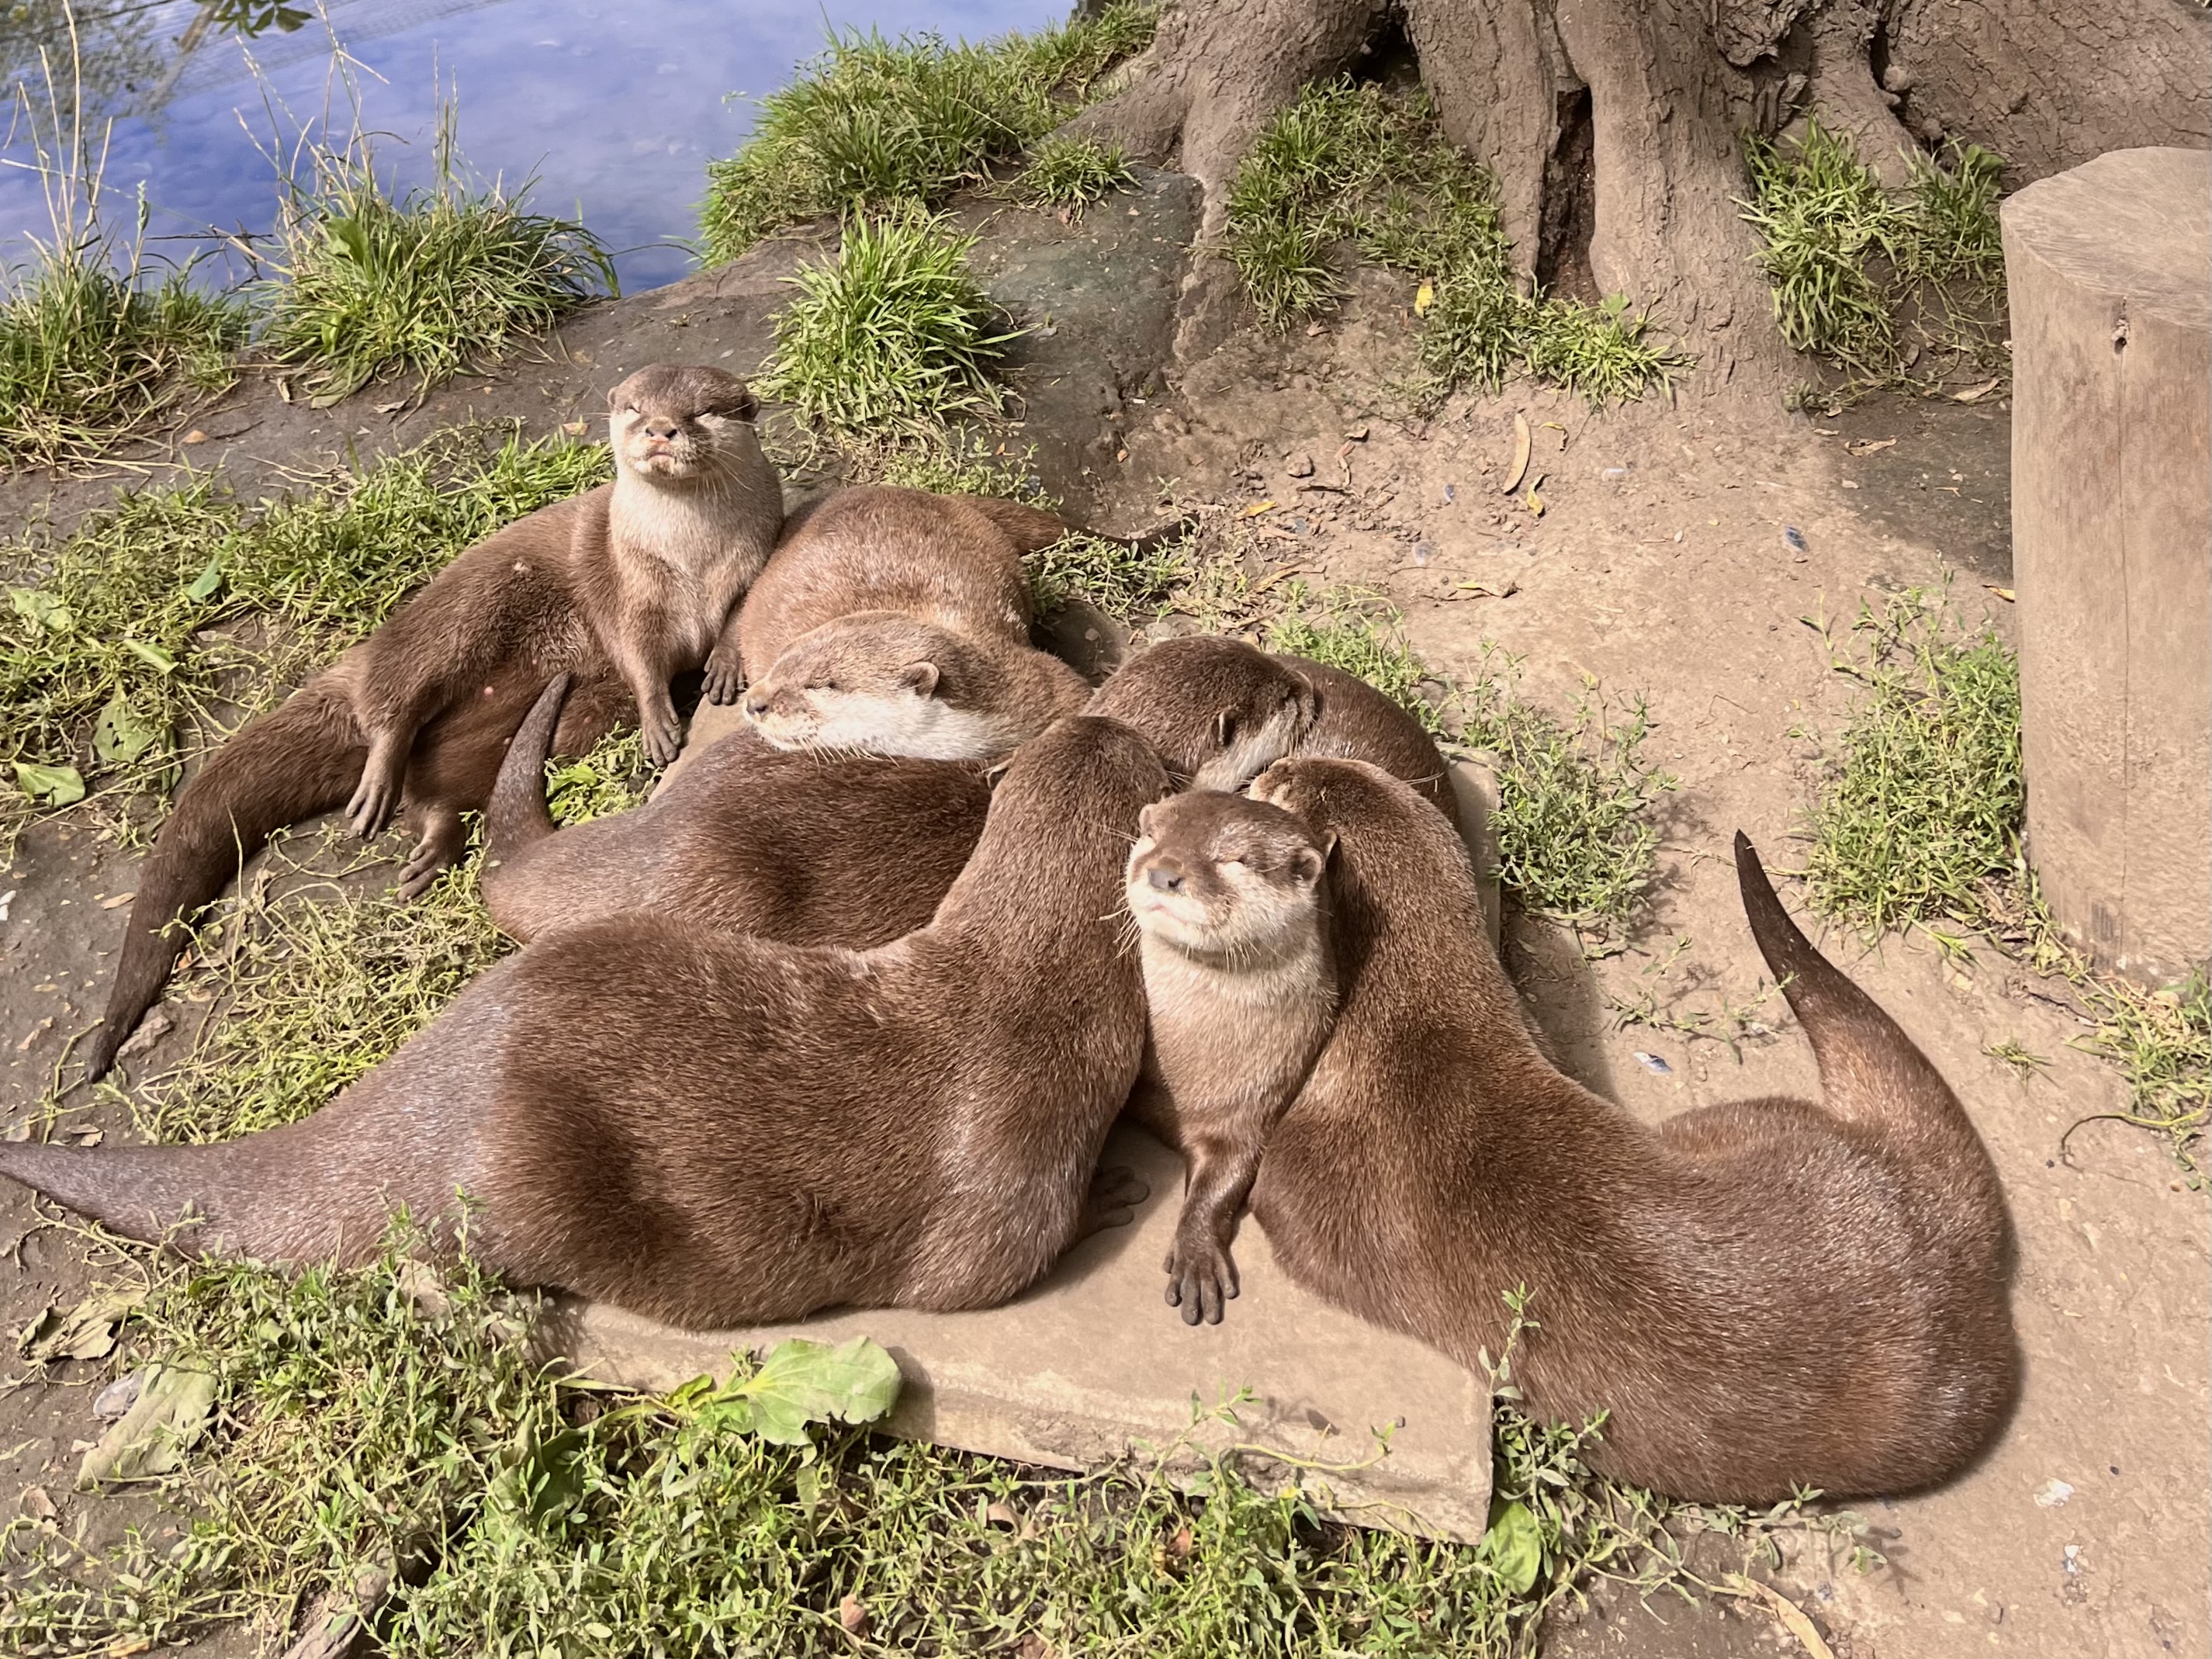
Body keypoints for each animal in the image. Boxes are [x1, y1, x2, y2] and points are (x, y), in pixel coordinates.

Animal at [83, 365, 782, 1080]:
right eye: (636, 407)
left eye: (699, 411)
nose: (661, 430)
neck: (689, 563)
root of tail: (361, 660)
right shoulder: (625, 587)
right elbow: (638, 656)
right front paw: (659, 724)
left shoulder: (755, 559)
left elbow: (739, 618)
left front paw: (723, 664)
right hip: (457, 613)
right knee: (399, 703)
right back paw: (377, 783)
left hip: (541, 719)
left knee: (440, 785)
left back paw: (433, 844)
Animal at [1124, 790, 1337, 1326]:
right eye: (1152, 836)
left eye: (1232, 860)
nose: (1163, 872)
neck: (1186, 1073)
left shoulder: (1255, 1101)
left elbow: (1222, 1182)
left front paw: (1197, 1253)